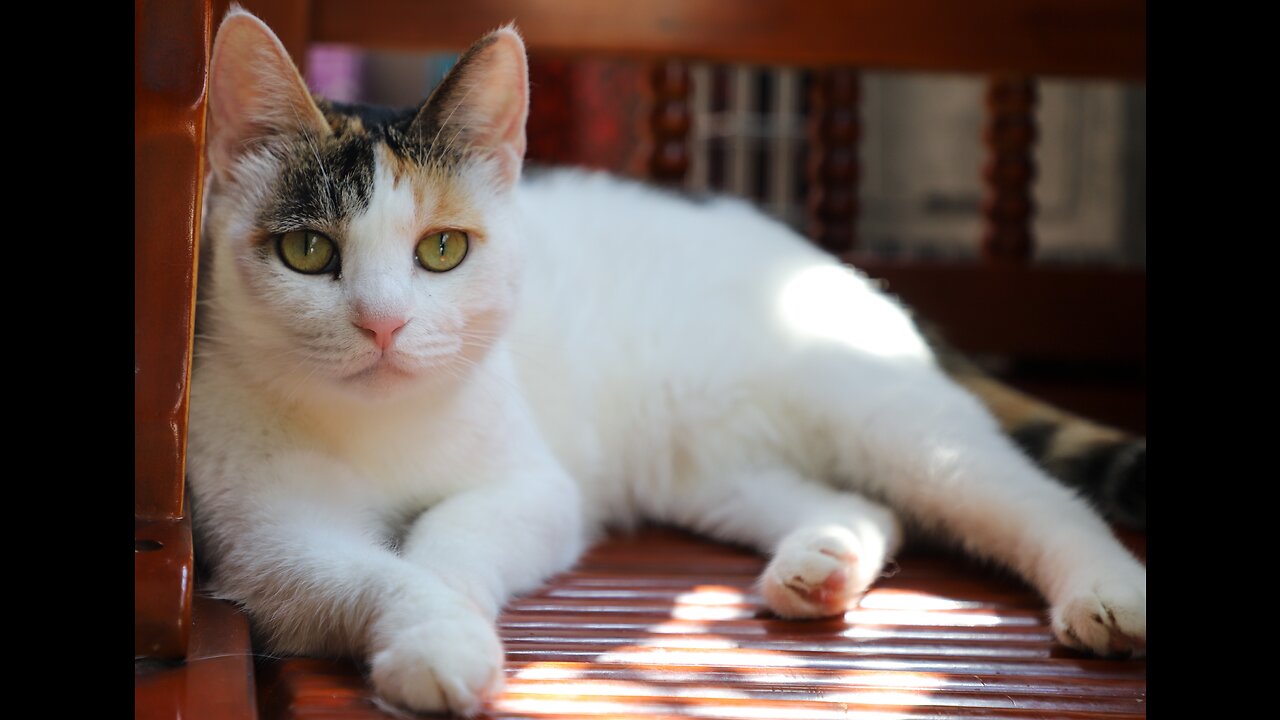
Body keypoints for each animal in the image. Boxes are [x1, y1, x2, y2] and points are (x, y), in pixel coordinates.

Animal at [186, 9, 1152, 712]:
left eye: (443, 250)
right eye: (308, 251)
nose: (384, 325)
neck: (381, 420)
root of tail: (816, 255)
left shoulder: (533, 488)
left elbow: (447, 540)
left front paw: (444, 624)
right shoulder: (267, 537)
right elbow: (359, 569)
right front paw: (434, 633)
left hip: (884, 417)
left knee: (1033, 497)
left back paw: (1110, 594)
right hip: (707, 466)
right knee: (863, 503)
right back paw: (822, 562)